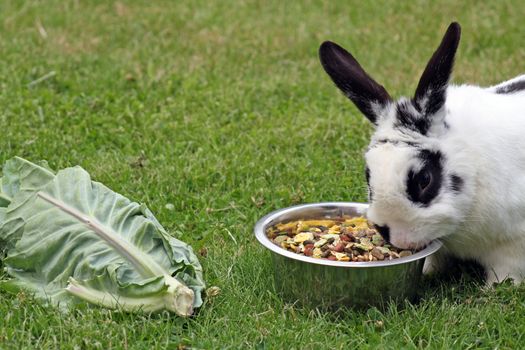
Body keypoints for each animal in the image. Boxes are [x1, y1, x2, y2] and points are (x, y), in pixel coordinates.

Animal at [318, 21, 524, 286]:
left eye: (424, 179)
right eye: (368, 175)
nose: (395, 235)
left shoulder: (513, 246)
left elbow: (507, 271)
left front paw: (493, 289)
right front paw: (428, 272)